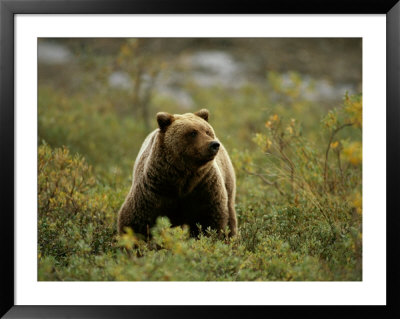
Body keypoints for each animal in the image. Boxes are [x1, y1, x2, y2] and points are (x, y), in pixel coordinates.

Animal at [118, 109, 238, 238]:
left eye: (207, 131)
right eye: (193, 132)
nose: (214, 144)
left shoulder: (204, 187)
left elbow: (210, 220)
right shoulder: (154, 190)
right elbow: (135, 220)